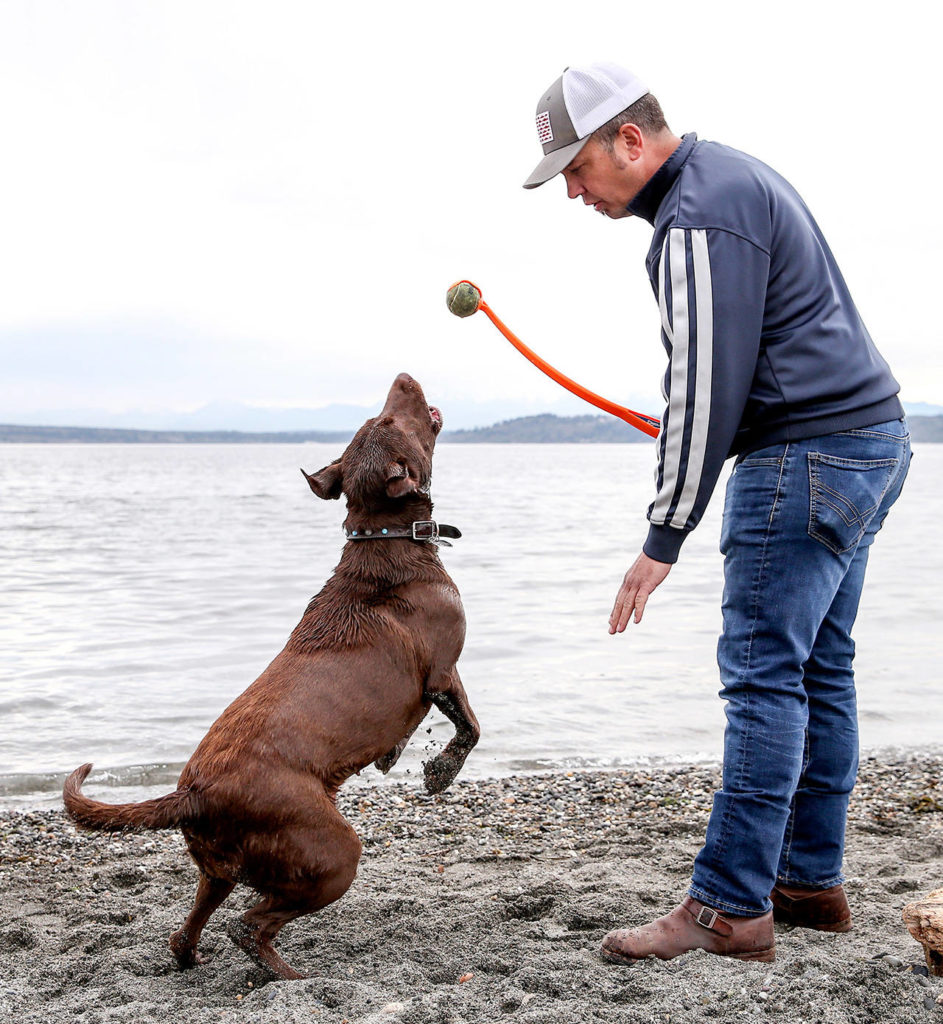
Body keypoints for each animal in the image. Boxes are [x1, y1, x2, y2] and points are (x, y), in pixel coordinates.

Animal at [63, 372, 479, 978]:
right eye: (389, 419)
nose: (402, 377)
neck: (385, 538)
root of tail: (192, 793)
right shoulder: (443, 671)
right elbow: (470, 727)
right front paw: (439, 772)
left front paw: (396, 754)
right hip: (331, 853)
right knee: (249, 924)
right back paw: (289, 978)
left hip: (217, 869)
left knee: (189, 927)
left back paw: (194, 959)